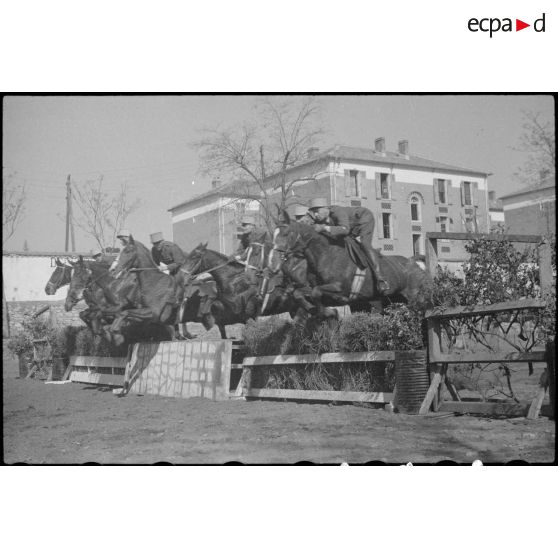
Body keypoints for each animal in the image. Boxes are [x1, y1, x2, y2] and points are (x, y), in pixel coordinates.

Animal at [272, 217, 428, 316]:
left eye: (286, 234)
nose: (274, 262)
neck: (325, 255)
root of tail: (414, 262)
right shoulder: (310, 287)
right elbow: (299, 293)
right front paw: (313, 309)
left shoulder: (340, 289)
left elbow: (316, 292)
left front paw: (326, 312)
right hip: (395, 299)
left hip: (415, 296)